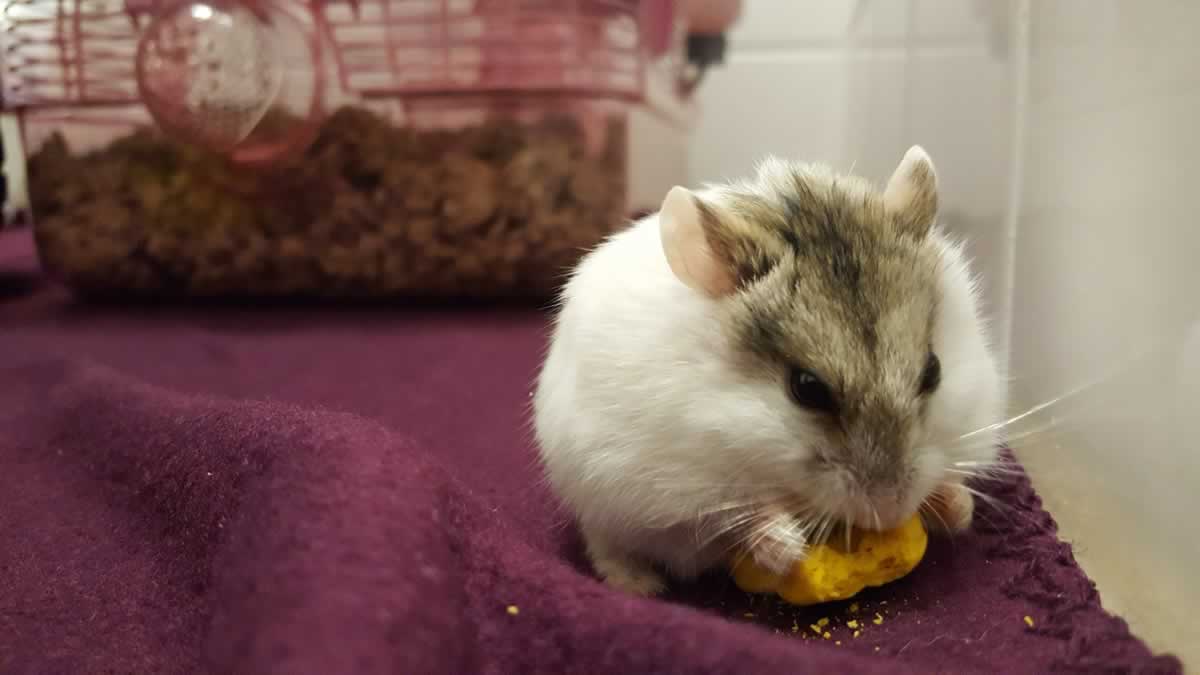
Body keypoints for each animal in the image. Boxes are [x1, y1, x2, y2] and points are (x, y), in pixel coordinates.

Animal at [535, 147, 1003, 593]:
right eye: (806, 388)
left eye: (933, 371)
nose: (891, 511)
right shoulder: (672, 489)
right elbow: (731, 517)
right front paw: (788, 548)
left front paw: (958, 505)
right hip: (593, 499)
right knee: (607, 546)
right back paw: (640, 586)